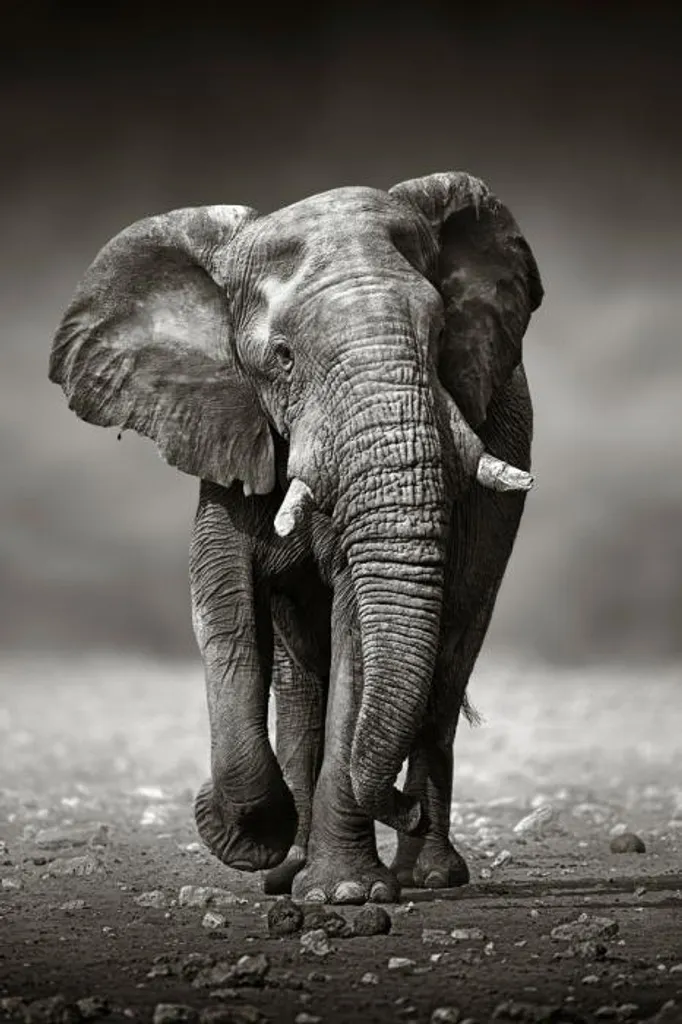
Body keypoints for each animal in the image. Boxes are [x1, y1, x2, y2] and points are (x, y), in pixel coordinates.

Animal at [48, 171, 543, 904]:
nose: (398, 806)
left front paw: (345, 894)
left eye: (438, 338)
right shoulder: (228, 431)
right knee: (300, 682)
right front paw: (250, 839)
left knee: (448, 659)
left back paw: (426, 875)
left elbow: (358, 629)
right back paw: (290, 870)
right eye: (281, 359)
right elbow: (224, 611)